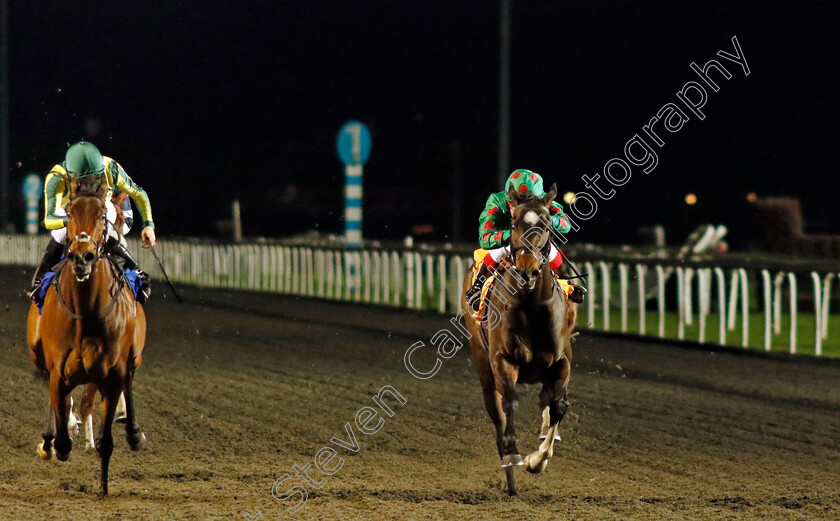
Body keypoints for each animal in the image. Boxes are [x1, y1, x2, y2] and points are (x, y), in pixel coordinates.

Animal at [25, 185, 147, 494]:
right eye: (69, 214)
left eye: (104, 216)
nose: (82, 257)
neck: (87, 311)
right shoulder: (58, 370)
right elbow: (62, 428)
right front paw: (57, 437)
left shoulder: (112, 372)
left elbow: (106, 437)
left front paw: (103, 488)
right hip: (37, 353)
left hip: (132, 357)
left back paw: (131, 432)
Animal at [460, 184, 576, 496]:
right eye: (513, 224)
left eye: (546, 225)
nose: (527, 270)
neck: (532, 307)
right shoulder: (503, 360)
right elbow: (510, 403)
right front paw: (514, 455)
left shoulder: (561, 360)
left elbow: (559, 405)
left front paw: (538, 460)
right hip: (483, 365)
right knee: (497, 411)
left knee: (549, 400)